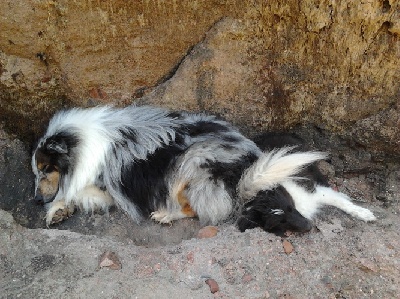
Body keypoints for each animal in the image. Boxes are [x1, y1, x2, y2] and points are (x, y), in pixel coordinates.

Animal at [30, 105, 376, 234]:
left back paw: (166, 214)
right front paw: (56, 211)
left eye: (45, 170)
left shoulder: (110, 187)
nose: (35, 200)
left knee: (197, 210)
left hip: (190, 166)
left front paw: (57, 206)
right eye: (36, 172)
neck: (83, 145)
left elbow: (75, 191)